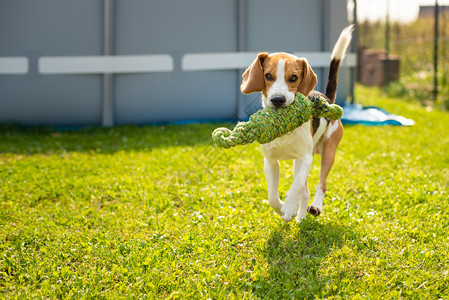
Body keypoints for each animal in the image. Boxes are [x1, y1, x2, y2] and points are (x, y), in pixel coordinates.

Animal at [240, 26, 352, 223]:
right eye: (268, 76)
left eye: (293, 77)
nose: (277, 100)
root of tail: (327, 97)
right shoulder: (270, 161)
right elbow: (272, 196)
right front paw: (282, 209)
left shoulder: (304, 158)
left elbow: (296, 184)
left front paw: (289, 206)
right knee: (304, 192)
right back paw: (301, 218)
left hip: (328, 151)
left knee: (321, 184)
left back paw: (315, 206)